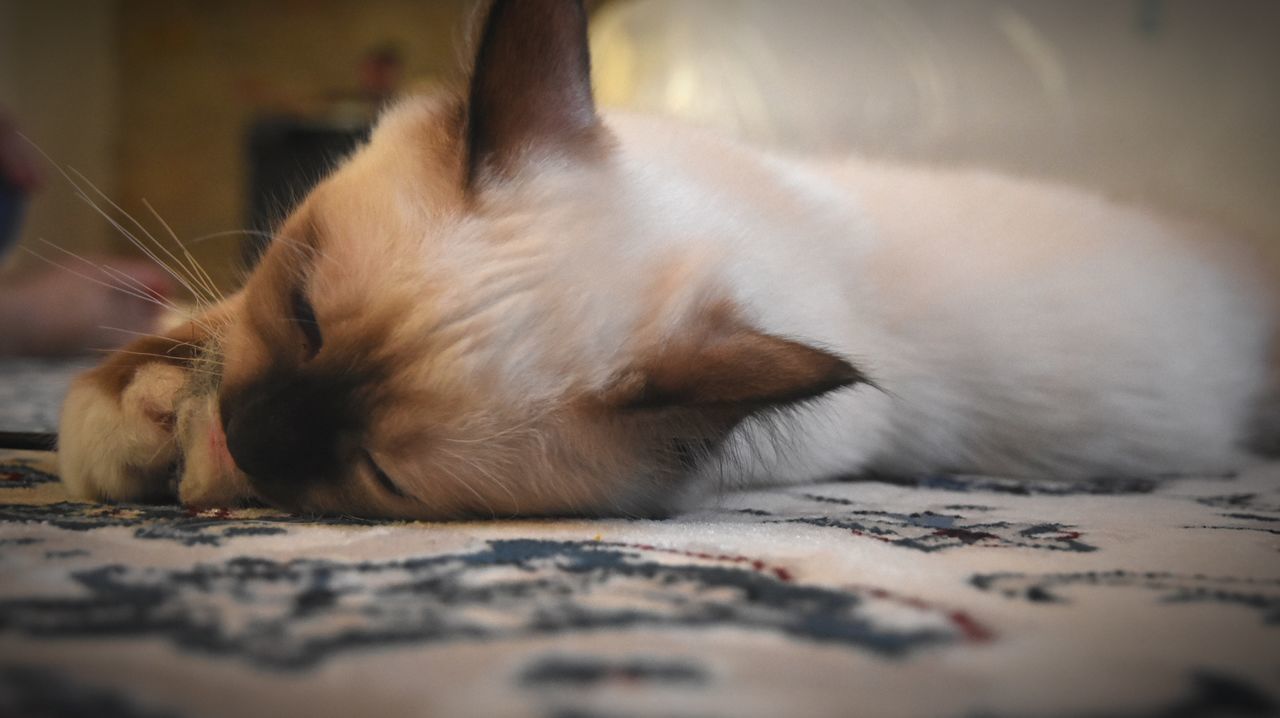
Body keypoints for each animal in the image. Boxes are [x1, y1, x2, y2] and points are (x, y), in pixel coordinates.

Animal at [57, 0, 1280, 514]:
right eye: (304, 312)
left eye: (382, 479)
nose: (258, 436)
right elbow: (197, 327)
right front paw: (132, 416)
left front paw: (189, 457)